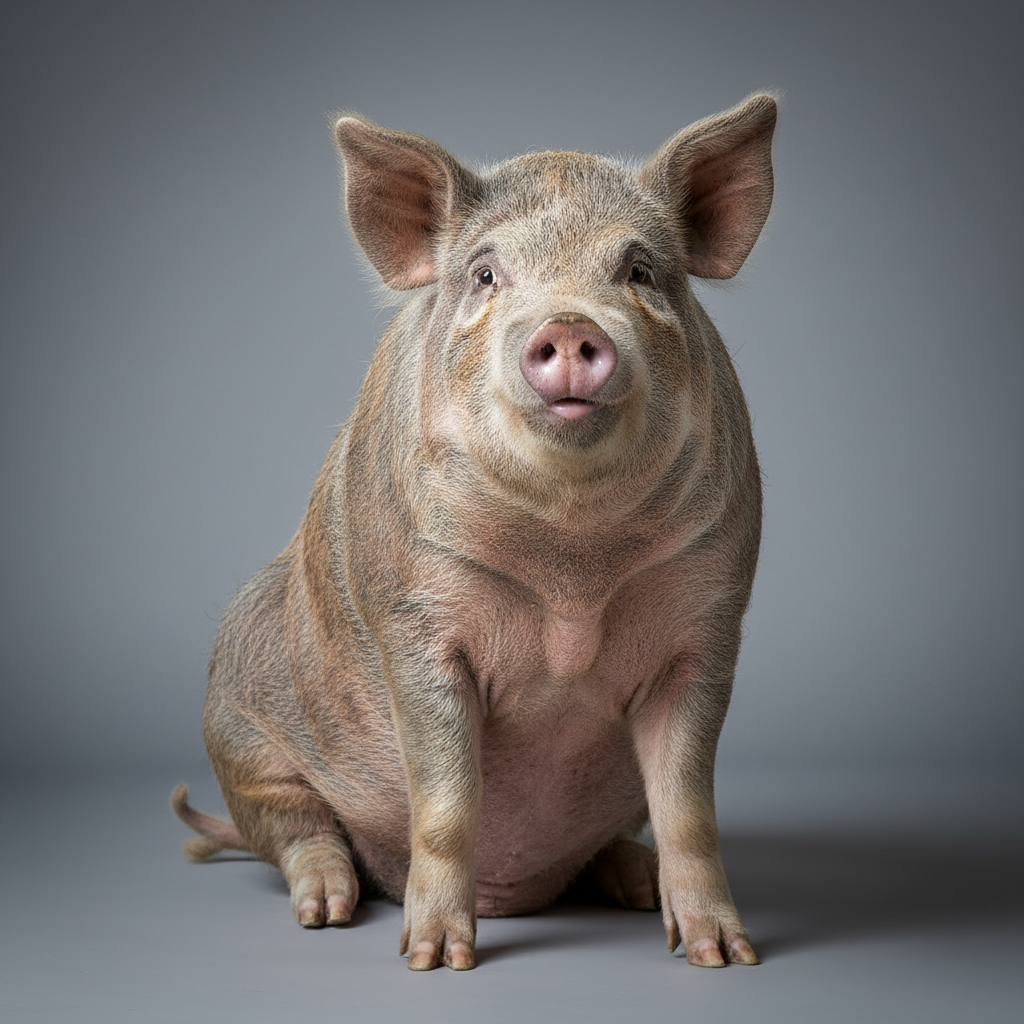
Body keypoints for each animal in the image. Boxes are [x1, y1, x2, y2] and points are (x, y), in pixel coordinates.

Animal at [173, 92, 777, 971]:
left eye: (638, 271)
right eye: (487, 274)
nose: (568, 325)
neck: (573, 570)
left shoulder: (709, 625)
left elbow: (689, 809)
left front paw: (724, 958)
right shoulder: (415, 623)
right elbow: (447, 803)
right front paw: (432, 961)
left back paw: (636, 884)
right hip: (240, 733)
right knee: (294, 829)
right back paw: (327, 909)